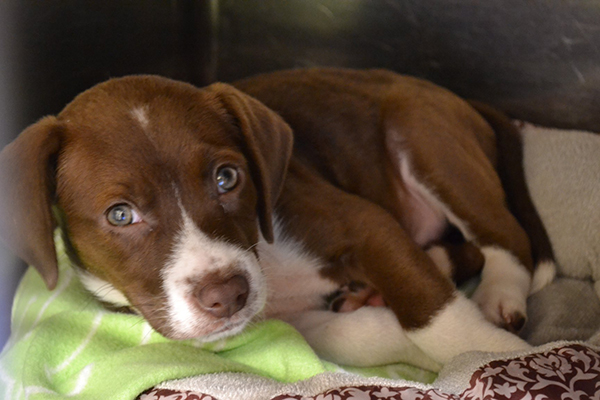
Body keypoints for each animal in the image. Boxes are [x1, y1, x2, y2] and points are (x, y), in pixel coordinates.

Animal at [0, 70, 552, 368]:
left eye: (227, 178)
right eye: (120, 215)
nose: (227, 295)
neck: (270, 264)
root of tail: (453, 97)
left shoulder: (366, 225)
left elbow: (436, 315)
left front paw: (493, 356)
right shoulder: (286, 317)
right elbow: (350, 337)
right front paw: (389, 330)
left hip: (424, 136)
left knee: (504, 235)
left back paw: (499, 294)